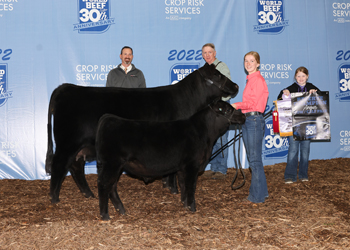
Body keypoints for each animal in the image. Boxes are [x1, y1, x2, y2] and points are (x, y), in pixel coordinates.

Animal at [46, 62, 238, 203]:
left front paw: (167, 186)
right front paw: (173, 189)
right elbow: (174, 170)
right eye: (217, 75)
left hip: (79, 146)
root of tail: (66, 87)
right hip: (67, 143)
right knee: (59, 165)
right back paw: (54, 198)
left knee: (75, 166)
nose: (236, 85)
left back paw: (88, 194)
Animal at [94, 100, 245, 221]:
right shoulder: (192, 165)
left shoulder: (183, 167)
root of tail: (109, 118)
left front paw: (185, 204)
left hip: (115, 166)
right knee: (104, 185)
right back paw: (105, 215)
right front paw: (192, 208)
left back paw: (121, 210)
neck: (205, 134)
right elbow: (191, 186)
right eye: (228, 110)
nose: (243, 116)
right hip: (111, 164)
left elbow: (183, 185)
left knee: (112, 185)